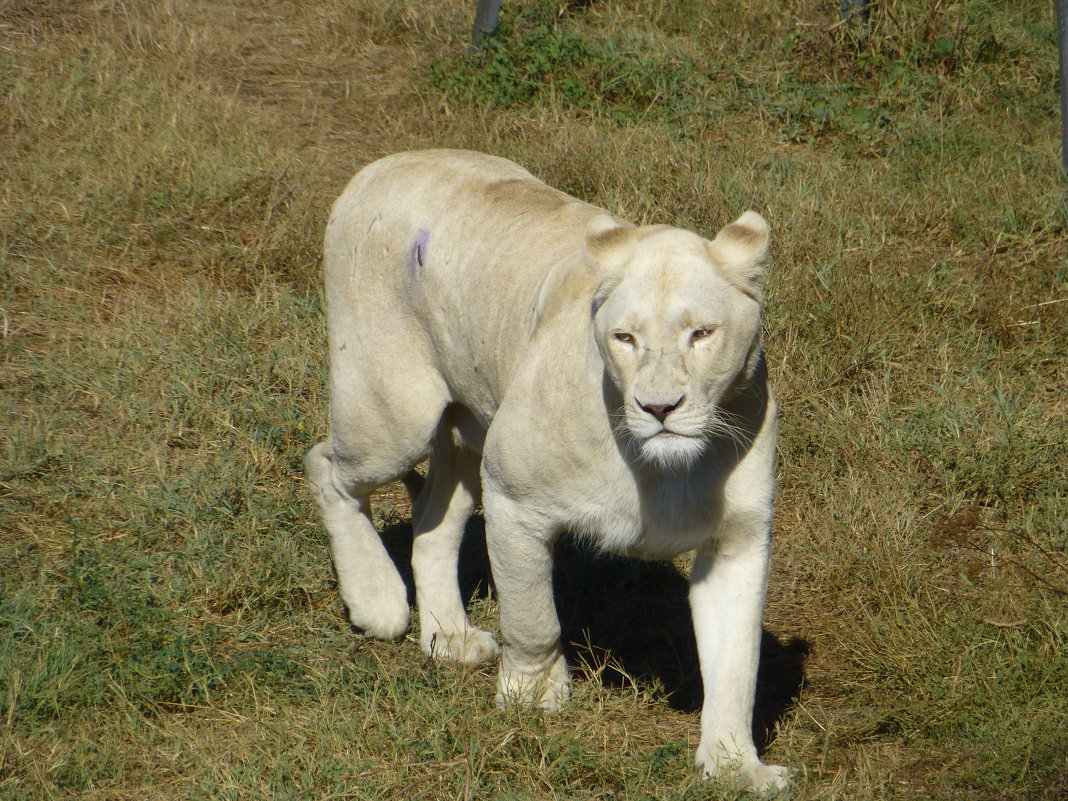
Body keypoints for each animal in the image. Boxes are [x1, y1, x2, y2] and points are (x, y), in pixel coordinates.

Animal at [305, 149, 790, 790]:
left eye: (702, 334)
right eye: (625, 337)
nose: (659, 408)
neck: (658, 471)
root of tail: (384, 164)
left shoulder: (738, 539)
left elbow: (737, 664)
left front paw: (736, 767)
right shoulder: (514, 497)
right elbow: (533, 618)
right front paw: (535, 698)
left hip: (467, 424)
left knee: (435, 516)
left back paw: (449, 638)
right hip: (393, 418)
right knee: (326, 466)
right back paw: (377, 602)